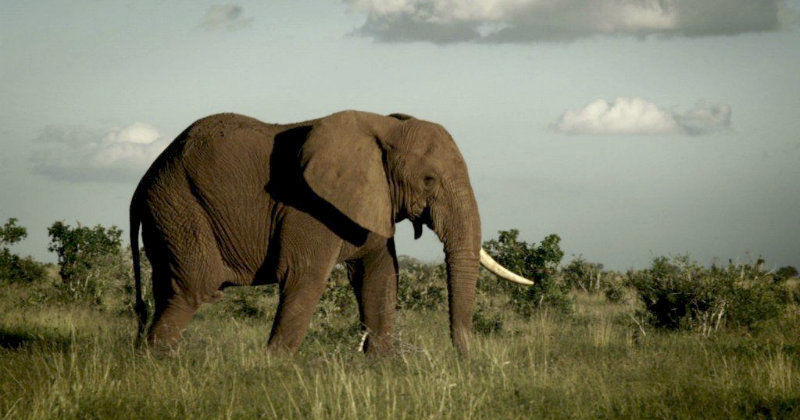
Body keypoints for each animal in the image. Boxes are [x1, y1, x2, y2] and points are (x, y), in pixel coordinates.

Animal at [130, 110, 532, 355]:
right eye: (430, 180)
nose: (466, 361)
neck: (384, 126)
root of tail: (141, 184)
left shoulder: (372, 200)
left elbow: (379, 278)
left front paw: (383, 369)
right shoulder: (307, 206)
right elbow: (305, 278)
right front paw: (272, 370)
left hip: (168, 214)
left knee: (169, 290)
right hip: (179, 207)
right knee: (193, 289)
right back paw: (159, 365)